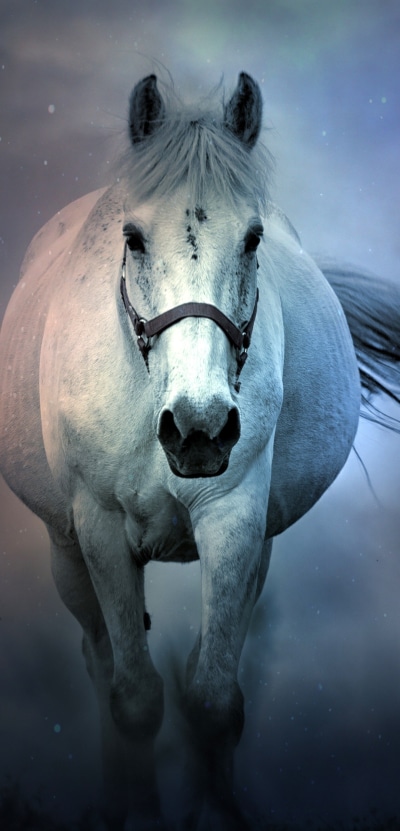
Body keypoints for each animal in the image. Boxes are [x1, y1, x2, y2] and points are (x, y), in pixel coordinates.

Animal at [1, 72, 399, 831]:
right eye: (131, 237)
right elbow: (133, 698)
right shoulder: (99, 529)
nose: (198, 429)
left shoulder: (235, 519)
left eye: (253, 237)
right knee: (101, 663)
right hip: (65, 551)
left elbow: (212, 700)